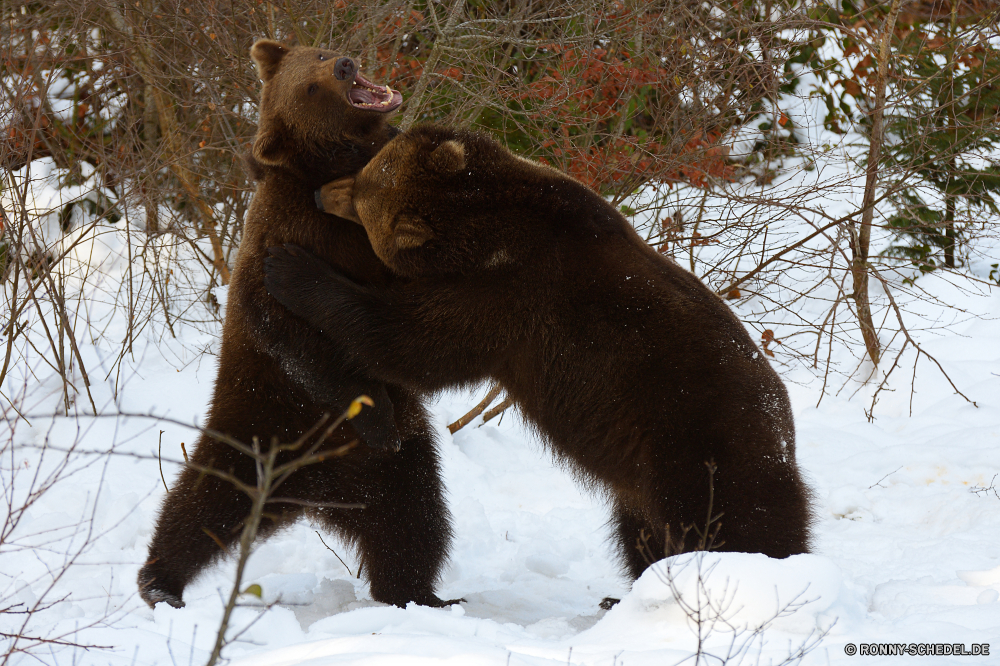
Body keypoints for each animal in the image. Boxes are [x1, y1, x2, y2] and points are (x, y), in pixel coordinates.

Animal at [137, 45, 458, 608]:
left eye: (322, 53)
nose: (345, 65)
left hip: (395, 470)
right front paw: (374, 415)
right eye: (310, 86)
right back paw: (160, 583)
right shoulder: (282, 246)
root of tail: (313, 494)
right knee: (201, 506)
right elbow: (297, 335)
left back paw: (418, 592)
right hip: (256, 431)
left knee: (414, 521)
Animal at [260, 123, 812, 580]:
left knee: (737, 526)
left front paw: (290, 268)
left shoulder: (509, 299)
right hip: (641, 480)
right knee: (638, 530)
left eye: (360, 194)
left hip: (699, 448)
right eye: (368, 170)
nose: (322, 192)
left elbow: (412, 343)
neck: (488, 223)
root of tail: (784, 428)